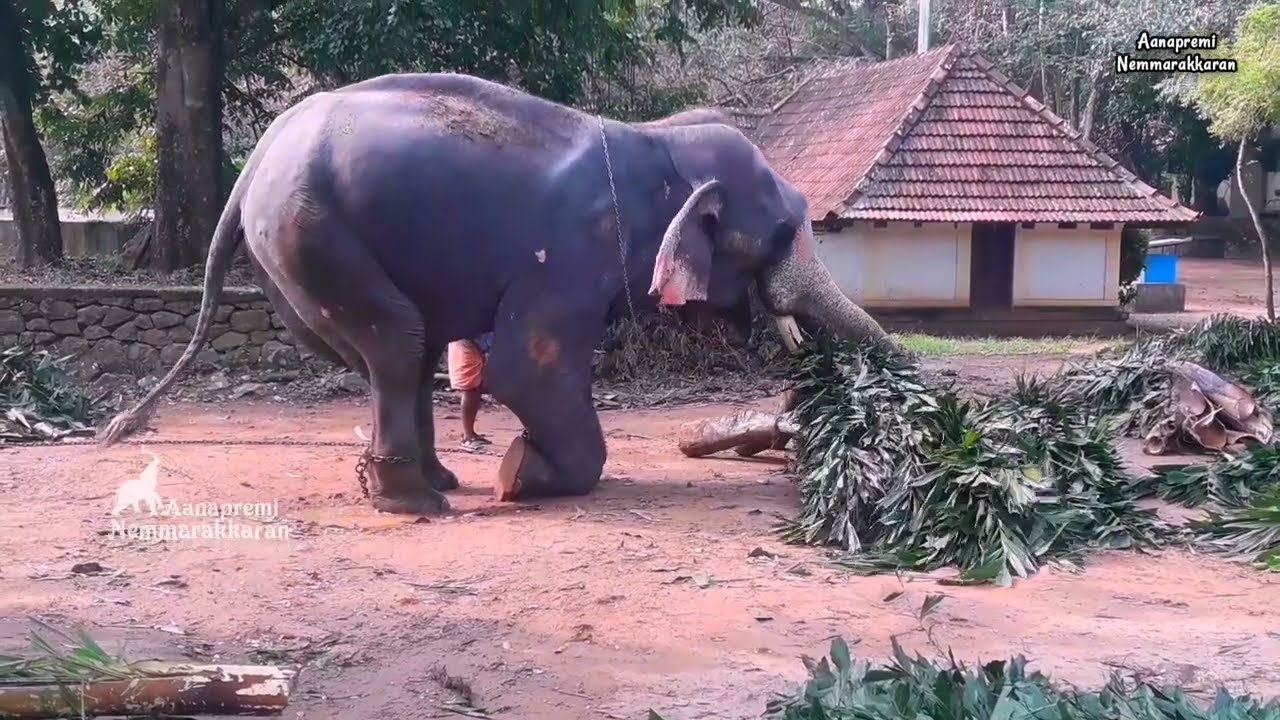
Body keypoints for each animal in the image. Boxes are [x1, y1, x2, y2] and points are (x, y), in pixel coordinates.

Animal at [99, 72, 903, 515]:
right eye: (782, 231)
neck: (657, 142)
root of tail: (253, 162)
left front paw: (516, 469)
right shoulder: (574, 254)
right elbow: (527, 370)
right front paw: (522, 476)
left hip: (294, 248)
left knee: (400, 351)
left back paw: (436, 481)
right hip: (311, 230)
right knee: (400, 343)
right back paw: (417, 502)